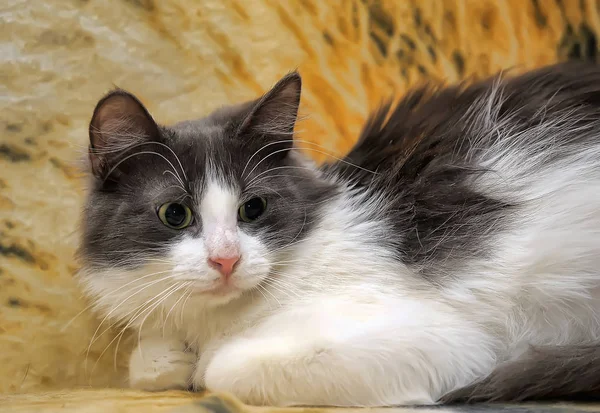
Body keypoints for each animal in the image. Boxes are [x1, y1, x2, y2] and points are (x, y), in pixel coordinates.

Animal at [77, 61, 600, 406]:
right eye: (175, 214)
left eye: (253, 209)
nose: (226, 259)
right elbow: (148, 361)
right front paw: (173, 360)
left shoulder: (447, 338)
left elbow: (223, 368)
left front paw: (202, 365)